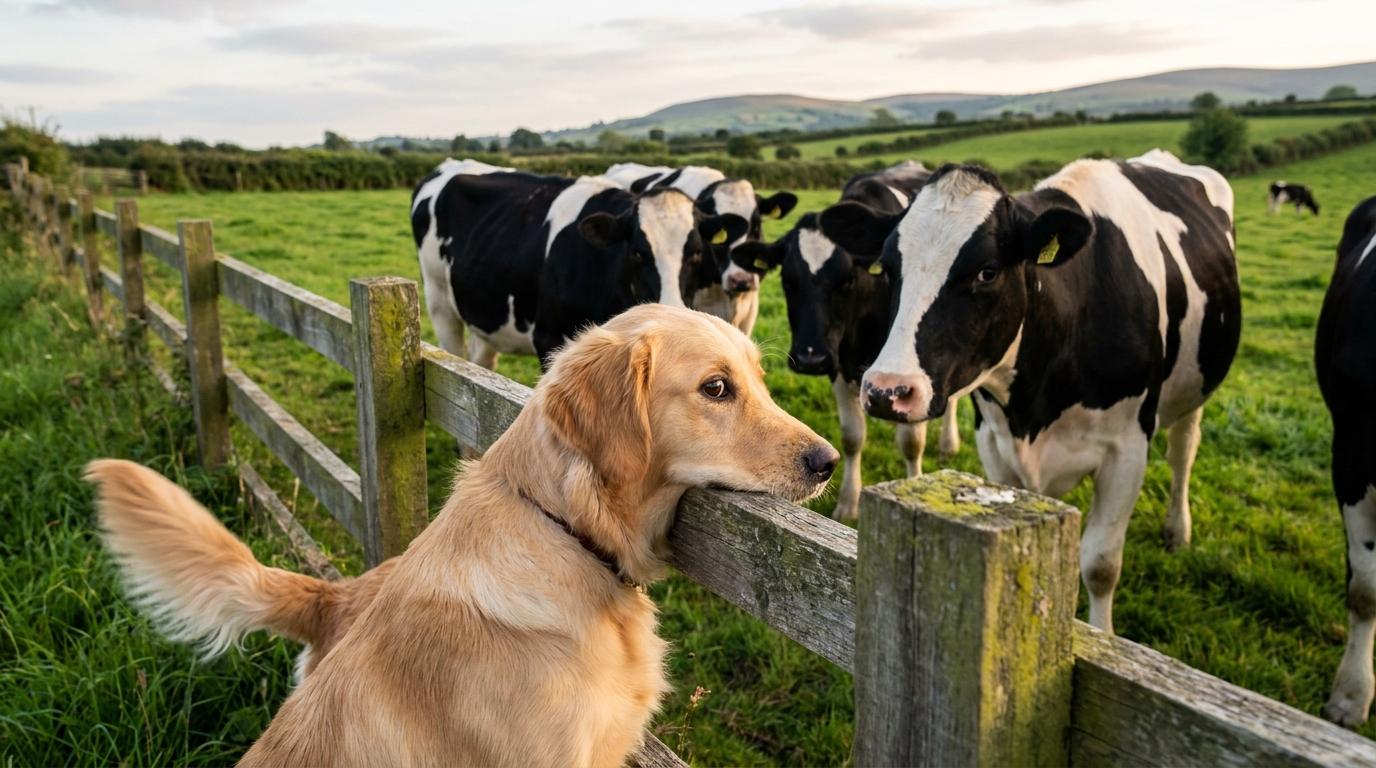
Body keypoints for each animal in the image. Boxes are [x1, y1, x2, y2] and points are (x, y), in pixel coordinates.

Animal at [729, 162, 960, 521]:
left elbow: (911, 442)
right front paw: (848, 503)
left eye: (847, 280)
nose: (810, 359)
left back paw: (949, 444)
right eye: (788, 280)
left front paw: (914, 486)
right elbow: (852, 437)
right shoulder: (838, 364)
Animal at [819, 150, 1241, 634]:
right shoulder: (996, 446)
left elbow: (1100, 565)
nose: (887, 390)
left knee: (1183, 452)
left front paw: (1101, 635)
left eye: (987, 272)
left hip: (1195, 387)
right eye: (889, 270)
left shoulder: (1127, 448)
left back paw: (1178, 530)